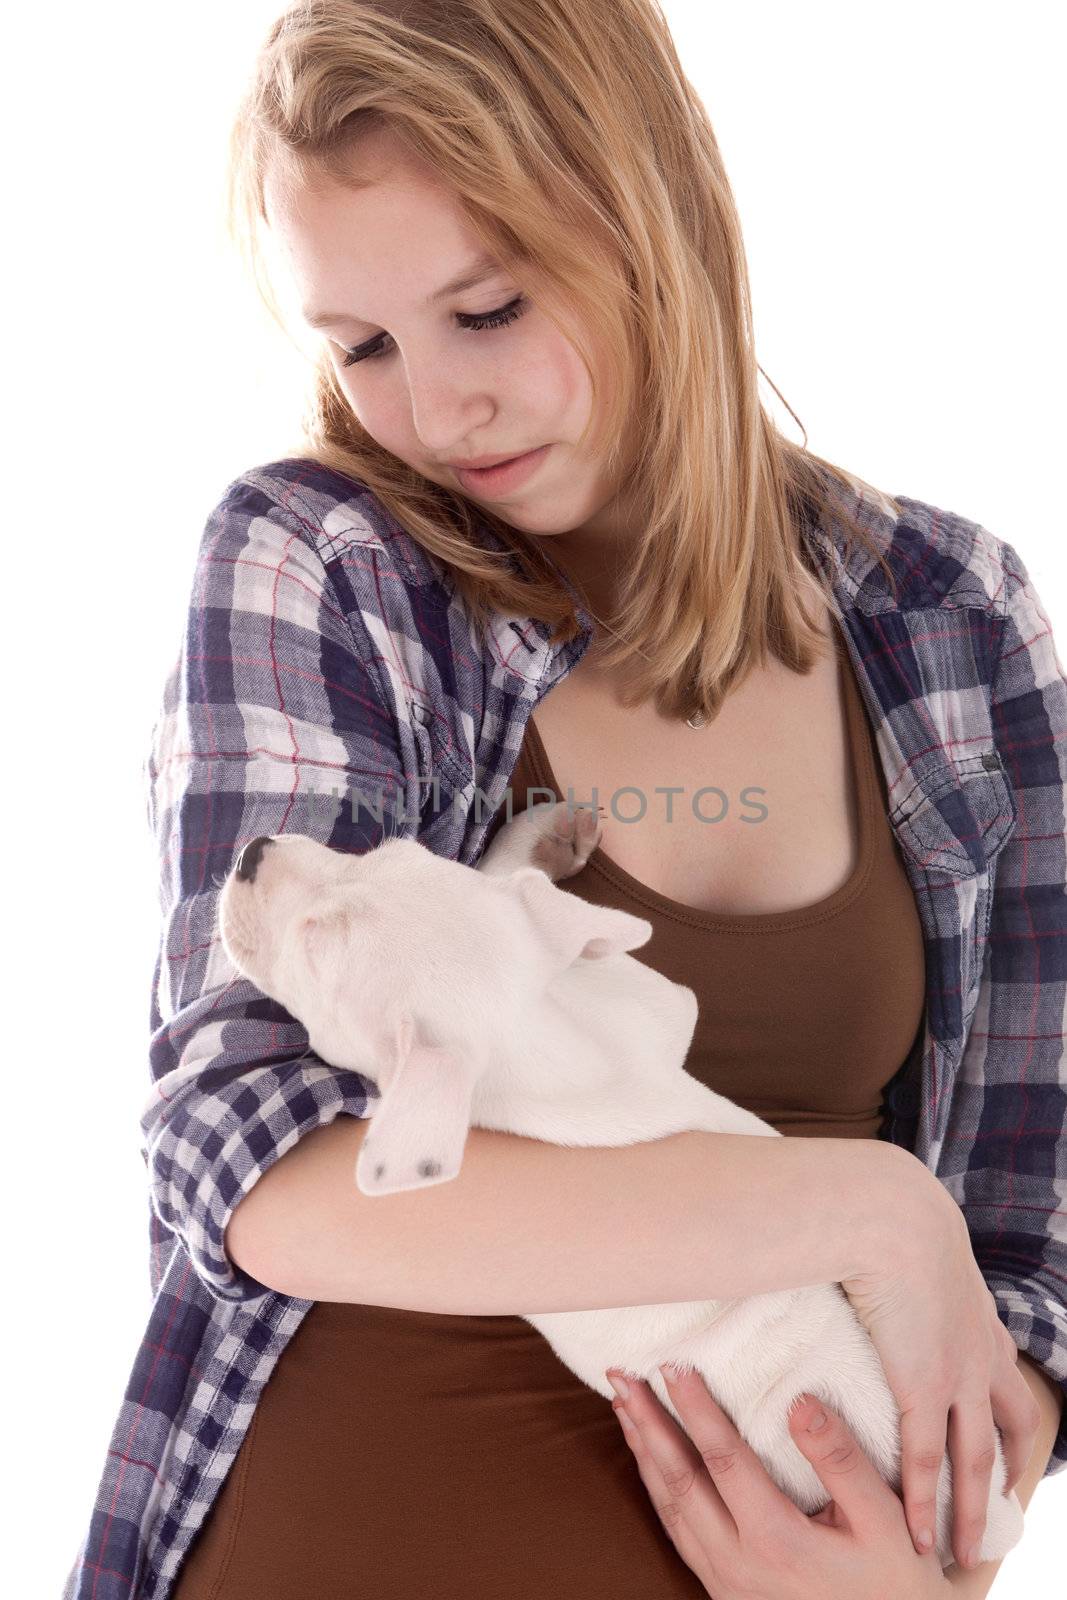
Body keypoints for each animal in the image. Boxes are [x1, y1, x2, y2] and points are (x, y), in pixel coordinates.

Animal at [219, 800, 1023, 1561]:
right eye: (380, 850)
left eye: (312, 946)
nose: (252, 850)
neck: (539, 1042)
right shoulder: (643, 1004)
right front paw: (543, 853)